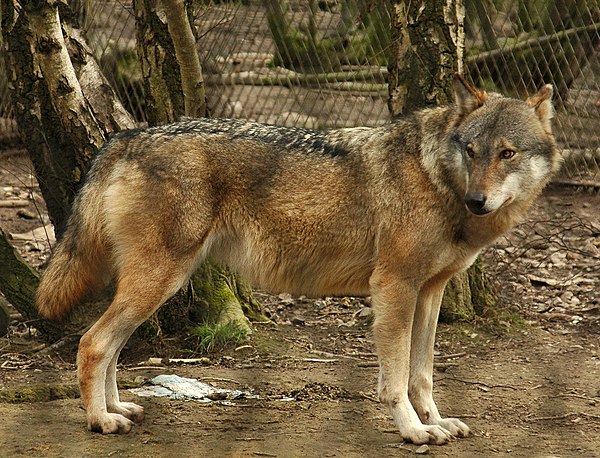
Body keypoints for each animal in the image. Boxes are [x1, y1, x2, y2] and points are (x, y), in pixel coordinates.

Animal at [36, 75, 564, 444]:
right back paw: (100, 421)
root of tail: (127, 136)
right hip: (159, 281)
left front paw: (436, 421)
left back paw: (117, 409)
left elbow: (422, 374)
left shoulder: (430, 292)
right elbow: (395, 379)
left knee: (110, 346)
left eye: (507, 153)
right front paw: (413, 431)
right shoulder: (394, 287)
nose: (478, 200)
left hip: (155, 285)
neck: (437, 179)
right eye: (471, 150)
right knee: (93, 343)